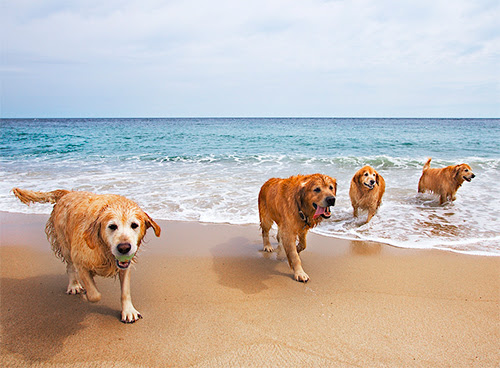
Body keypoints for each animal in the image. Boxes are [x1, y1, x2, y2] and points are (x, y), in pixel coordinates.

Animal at [12, 188, 160, 324]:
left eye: (134, 225)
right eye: (112, 226)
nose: (124, 247)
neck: (103, 248)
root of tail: (68, 193)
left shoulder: (124, 266)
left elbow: (125, 291)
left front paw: (128, 311)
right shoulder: (79, 258)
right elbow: (95, 295)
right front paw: (88, 293)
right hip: (65, 244)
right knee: (70, 267)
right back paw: (74, 285)